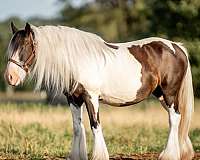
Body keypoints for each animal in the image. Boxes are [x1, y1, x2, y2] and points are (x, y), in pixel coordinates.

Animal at [3, 22, 194, 160]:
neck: (77, 60)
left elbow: (95, 125)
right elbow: (77, 127)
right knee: (176, 118)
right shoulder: (73, 99)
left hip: (169, 94)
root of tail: (176, 46)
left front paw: (99, 155)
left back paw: (169, 155)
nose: (10, 77)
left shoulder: (91, 97)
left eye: (25, 46)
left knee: (174, 118)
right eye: (12, 47)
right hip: (161, 95)